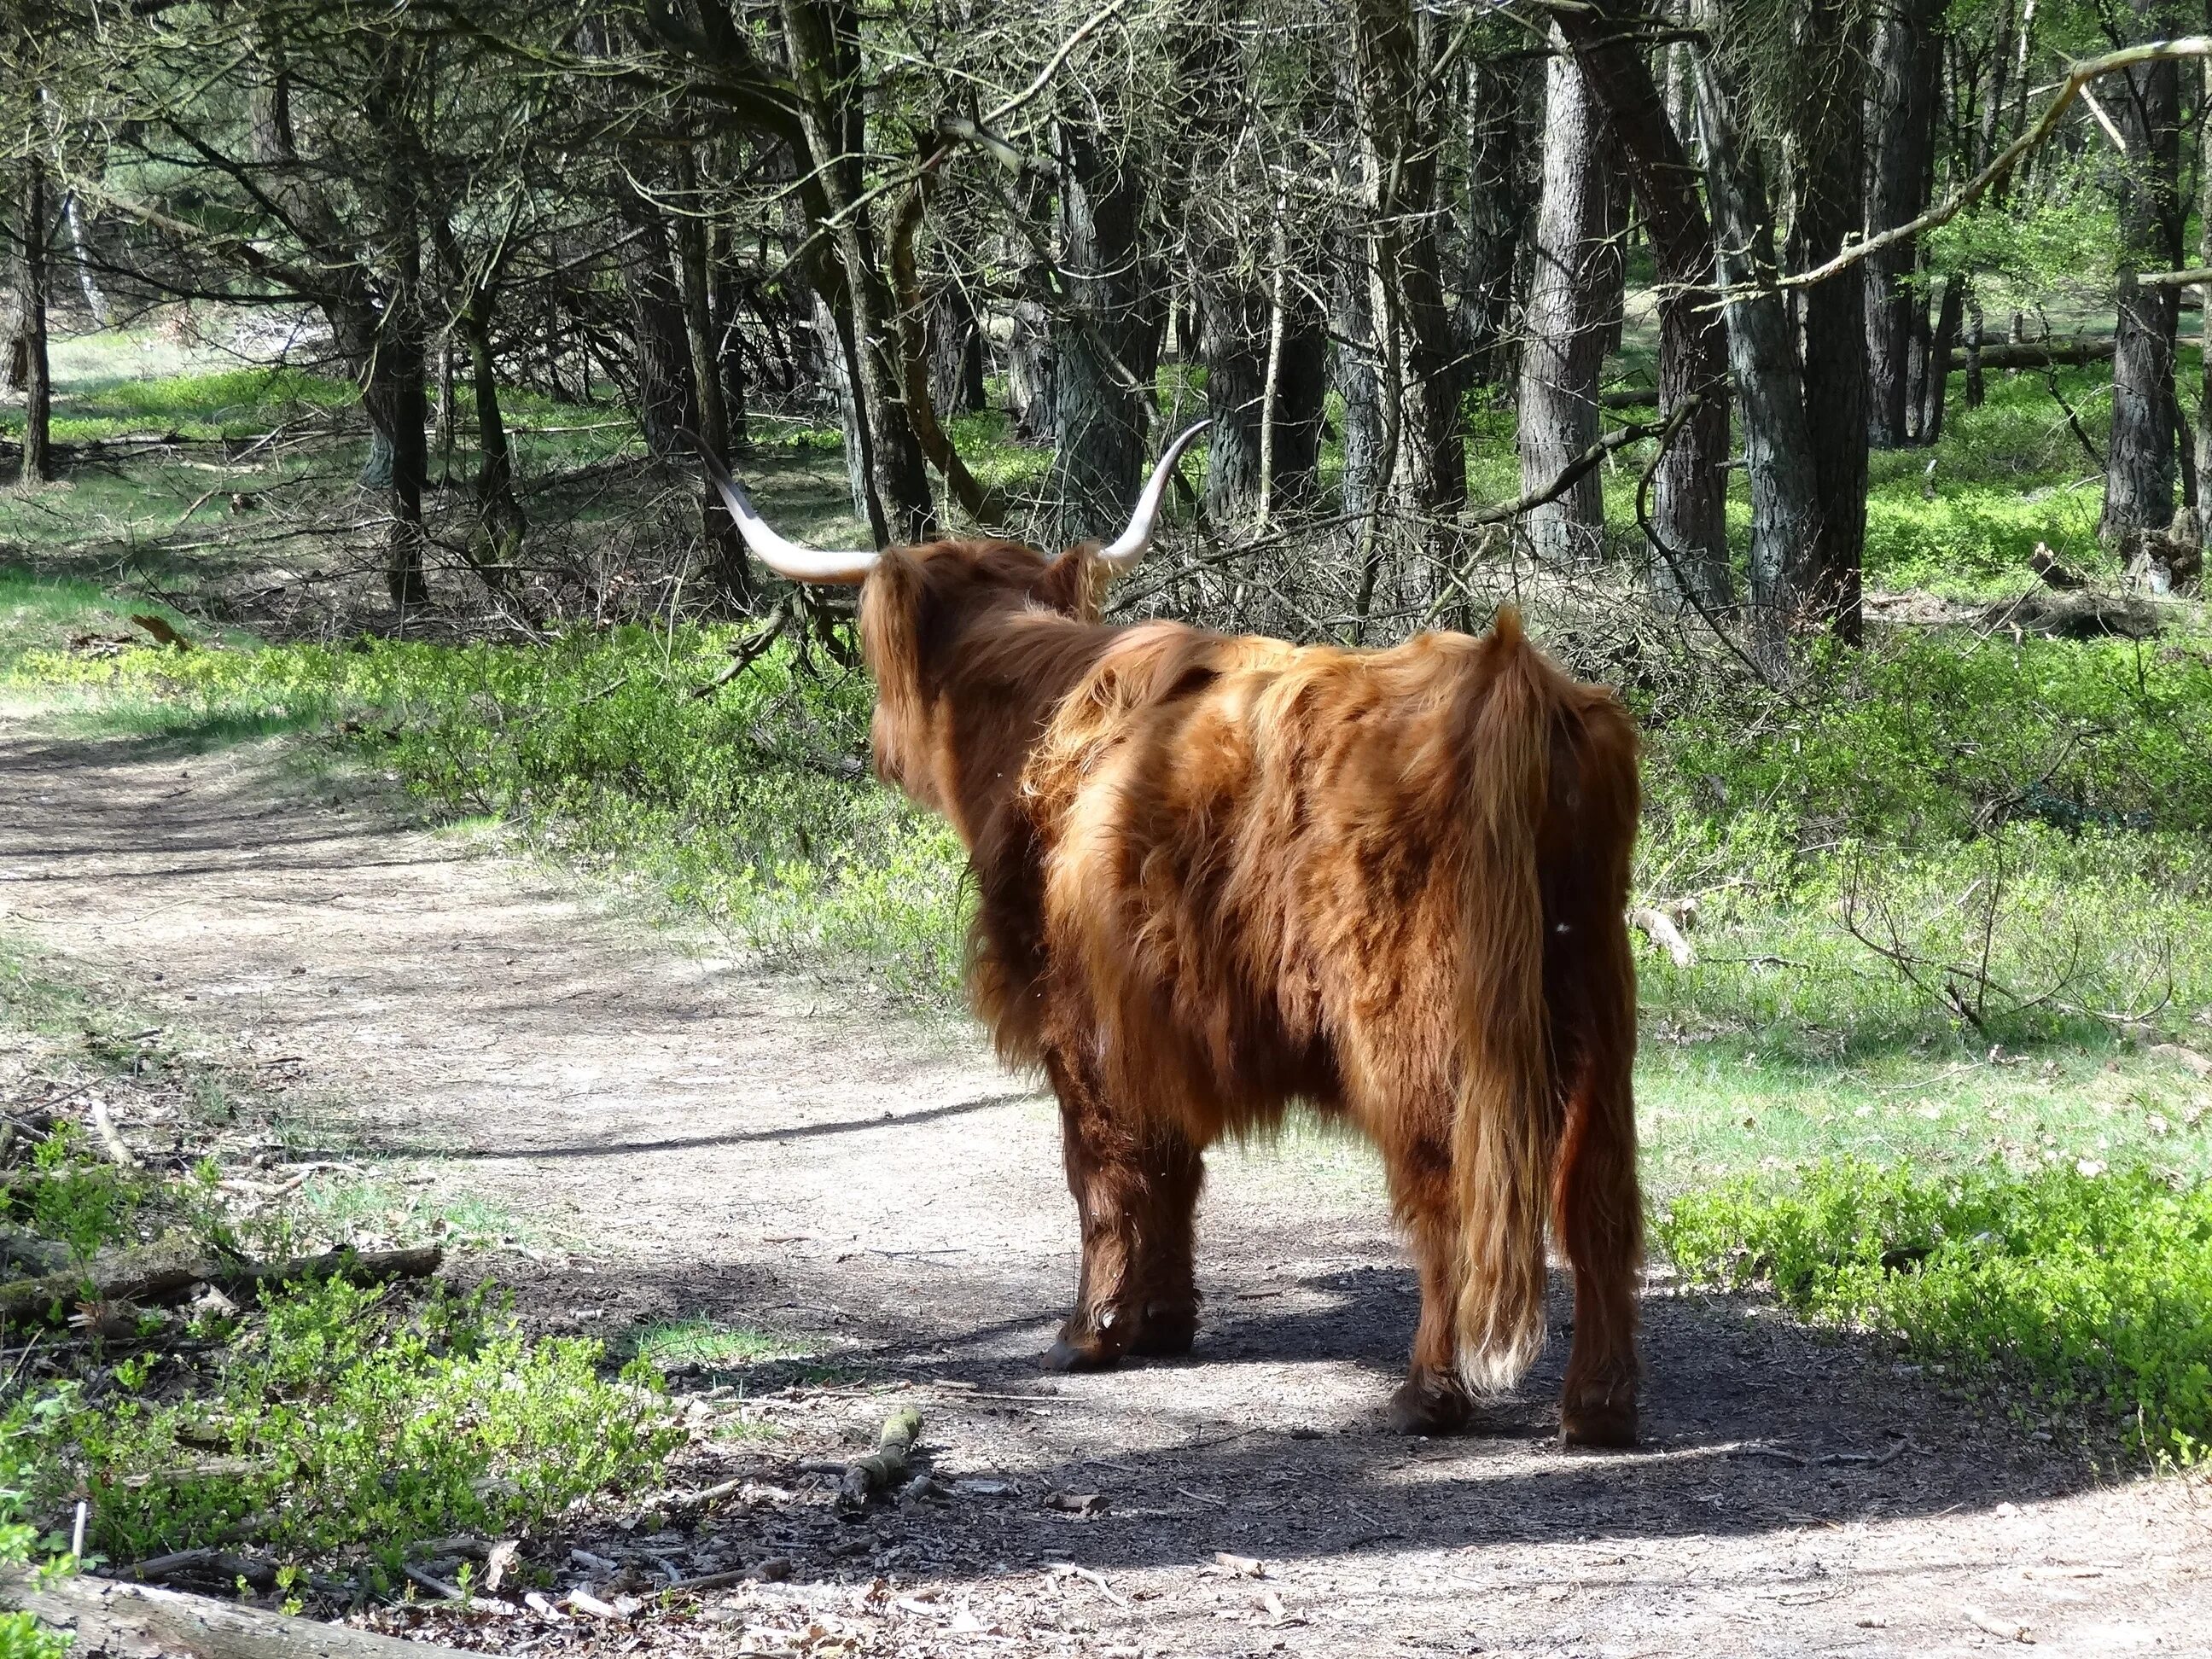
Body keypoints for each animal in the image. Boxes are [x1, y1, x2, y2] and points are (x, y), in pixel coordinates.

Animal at [690, 424, 1645, 1441]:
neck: (1032, 713)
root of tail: (1511, 675)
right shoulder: (1155, 1011)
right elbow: (1170, 1166)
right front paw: (1164, 1322)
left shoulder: (1075, 1013)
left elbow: (1100, 1172)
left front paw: (1090, 1332)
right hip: (1594, 991)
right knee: (1600, 1201)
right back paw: (1599, 1409)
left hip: (1420, 1030)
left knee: (1445, 1196)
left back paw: (1428, 1394)